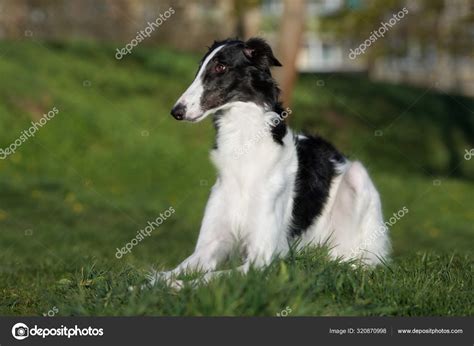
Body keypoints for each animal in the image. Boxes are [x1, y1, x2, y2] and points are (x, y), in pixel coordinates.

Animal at [148, 37, 388, 290]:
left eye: (221, 67)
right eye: (200, 68)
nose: (176, 111)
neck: (244, 152)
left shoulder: (261, 260)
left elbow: (210, 278)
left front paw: (179, 287)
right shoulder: (209, 246)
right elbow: (168, 272)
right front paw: (149, 285)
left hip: (357, 177)